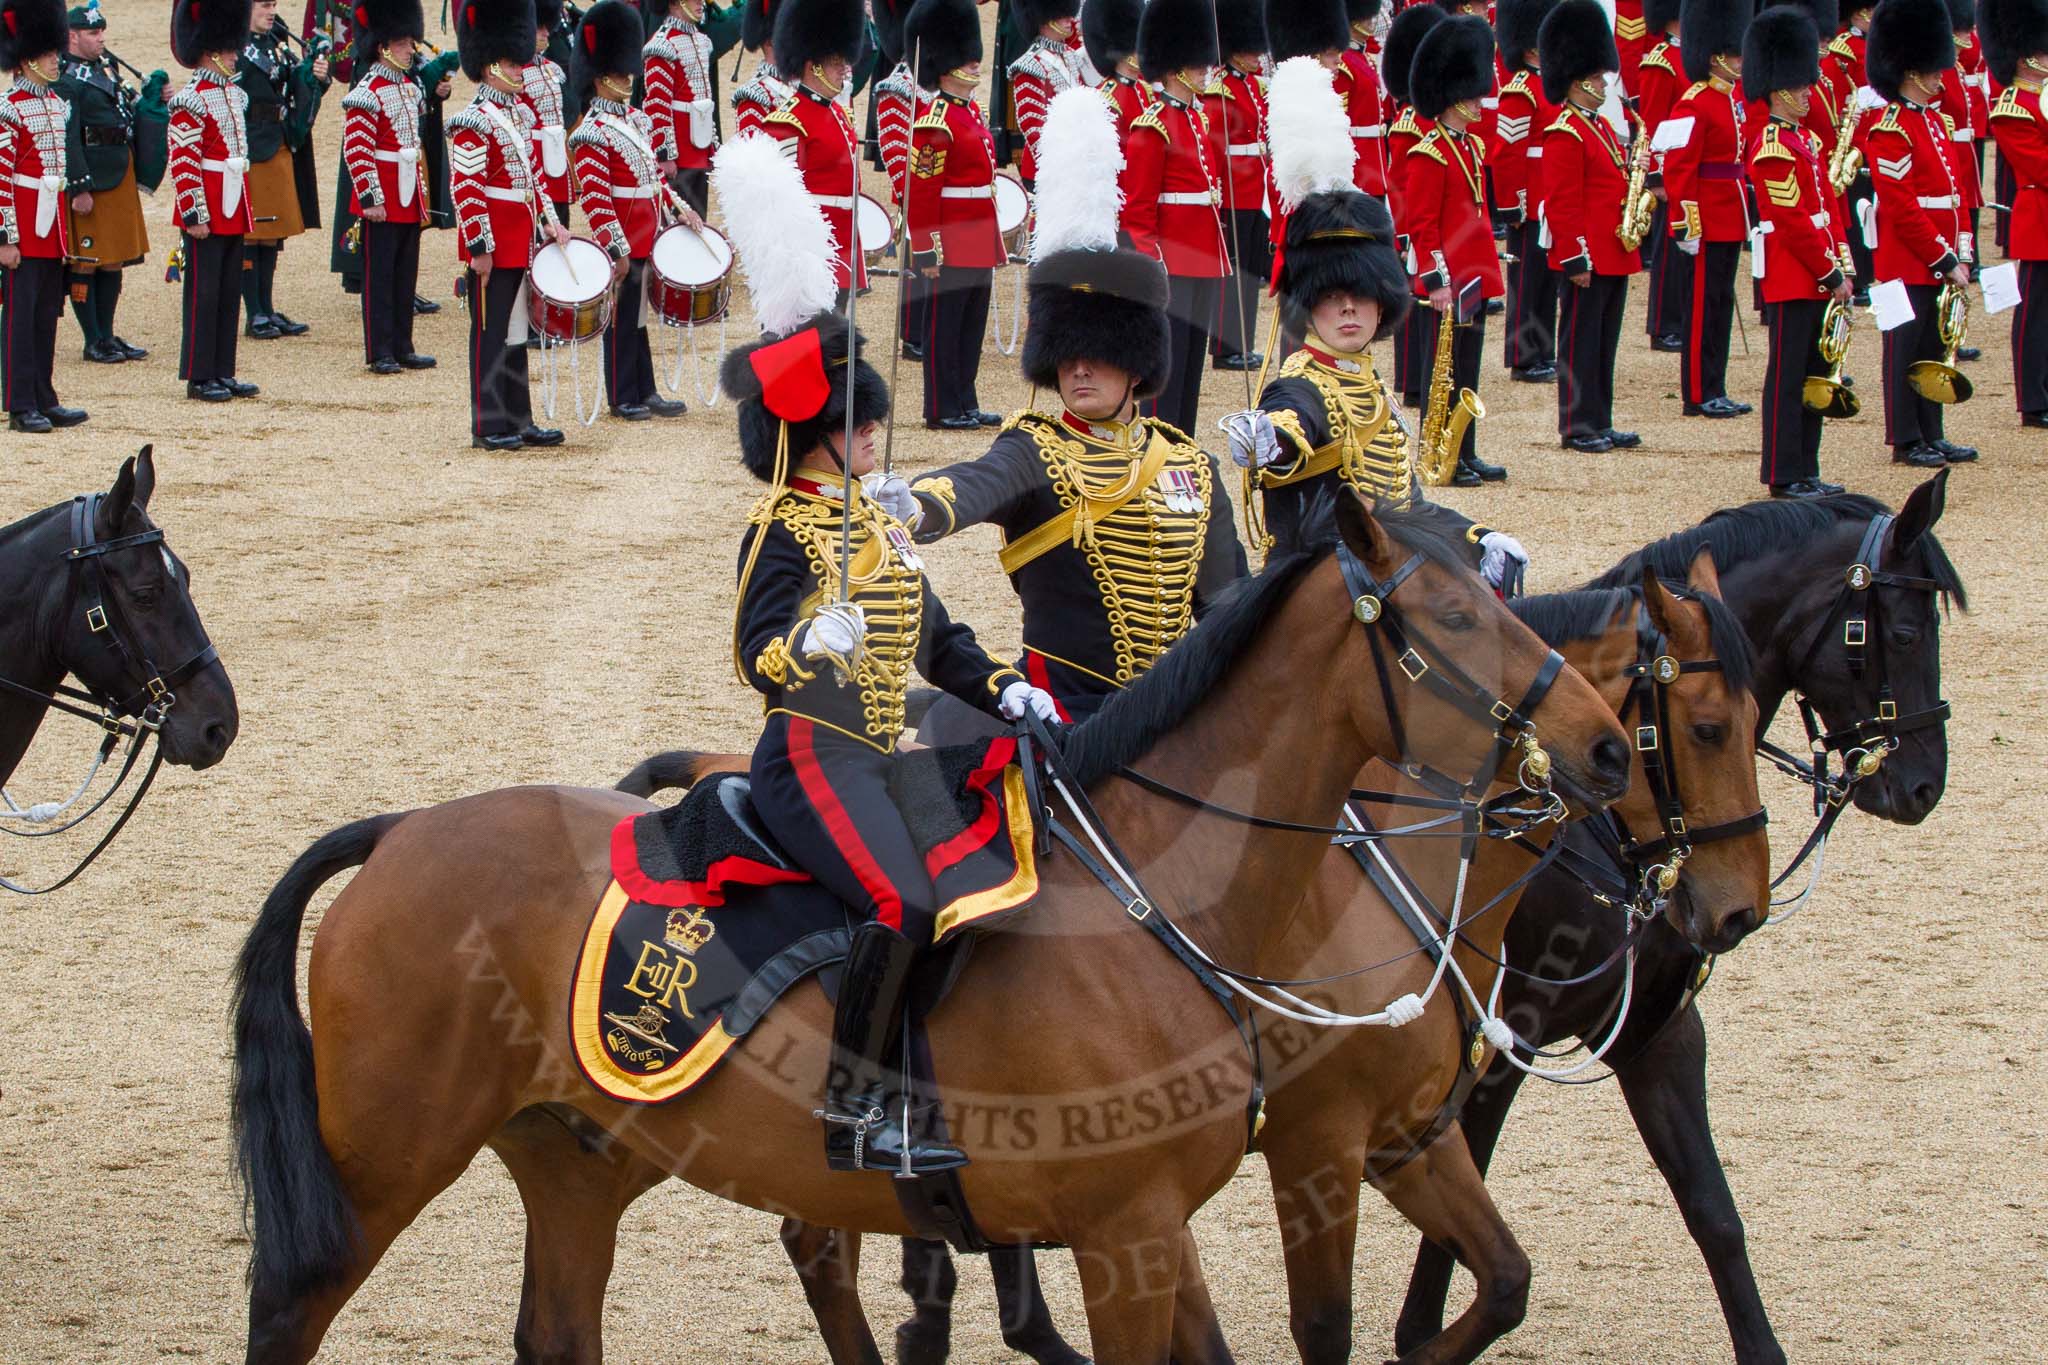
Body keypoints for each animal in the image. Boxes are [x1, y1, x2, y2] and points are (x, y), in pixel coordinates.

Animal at [224, 493, 1630, 1365]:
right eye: (1450, 619)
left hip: (573, 1158)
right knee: (291, 1313)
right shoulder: (1143, 1224)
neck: (1158, 906)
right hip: (383, 1162)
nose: (1604, 748)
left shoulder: (1175, 1221)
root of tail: (405, 830)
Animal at [1400, 472, 1957, 1365]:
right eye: (1903, 630)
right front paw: (1419, 1330)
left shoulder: (1658, 1030)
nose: (1922, 784)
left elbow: (1714, 1213)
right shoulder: (1500, 1038)